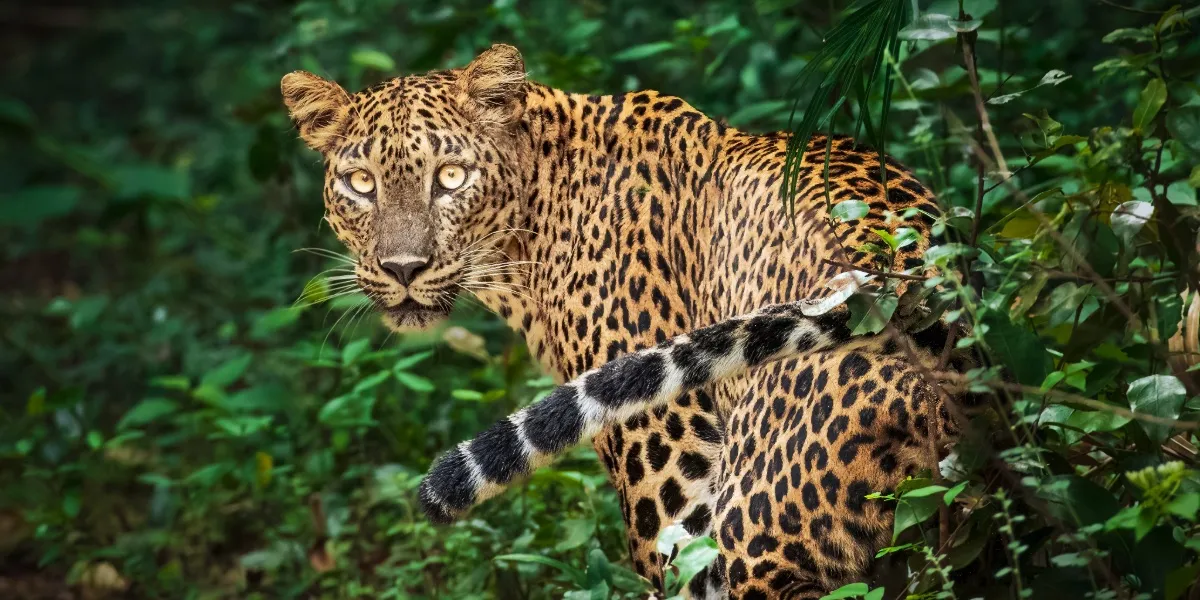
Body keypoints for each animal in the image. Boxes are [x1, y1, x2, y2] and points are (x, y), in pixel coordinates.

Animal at [281, 44, 983, 599]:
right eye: (361, 183)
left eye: (451, 177)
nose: (403, 267)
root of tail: (909, 294)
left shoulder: (675, 502)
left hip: (754, 537)